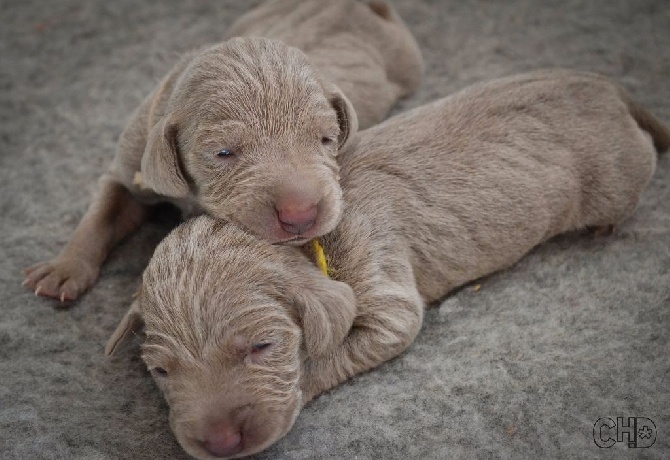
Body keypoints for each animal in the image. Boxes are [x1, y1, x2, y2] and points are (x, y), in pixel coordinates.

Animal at [22, 0, 426, 302]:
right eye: (224, 153)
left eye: (327, 140)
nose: (301, 216)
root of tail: (354, 4)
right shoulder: (128, 169)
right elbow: (101, 214)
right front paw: (63, 269)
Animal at [107, 69, 668, 460]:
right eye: (160, 370)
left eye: (262, 347)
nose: (221, 444)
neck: (314, 242)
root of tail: (608, 89)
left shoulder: (381, 274)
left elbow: (352, 344)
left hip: (617, 176)